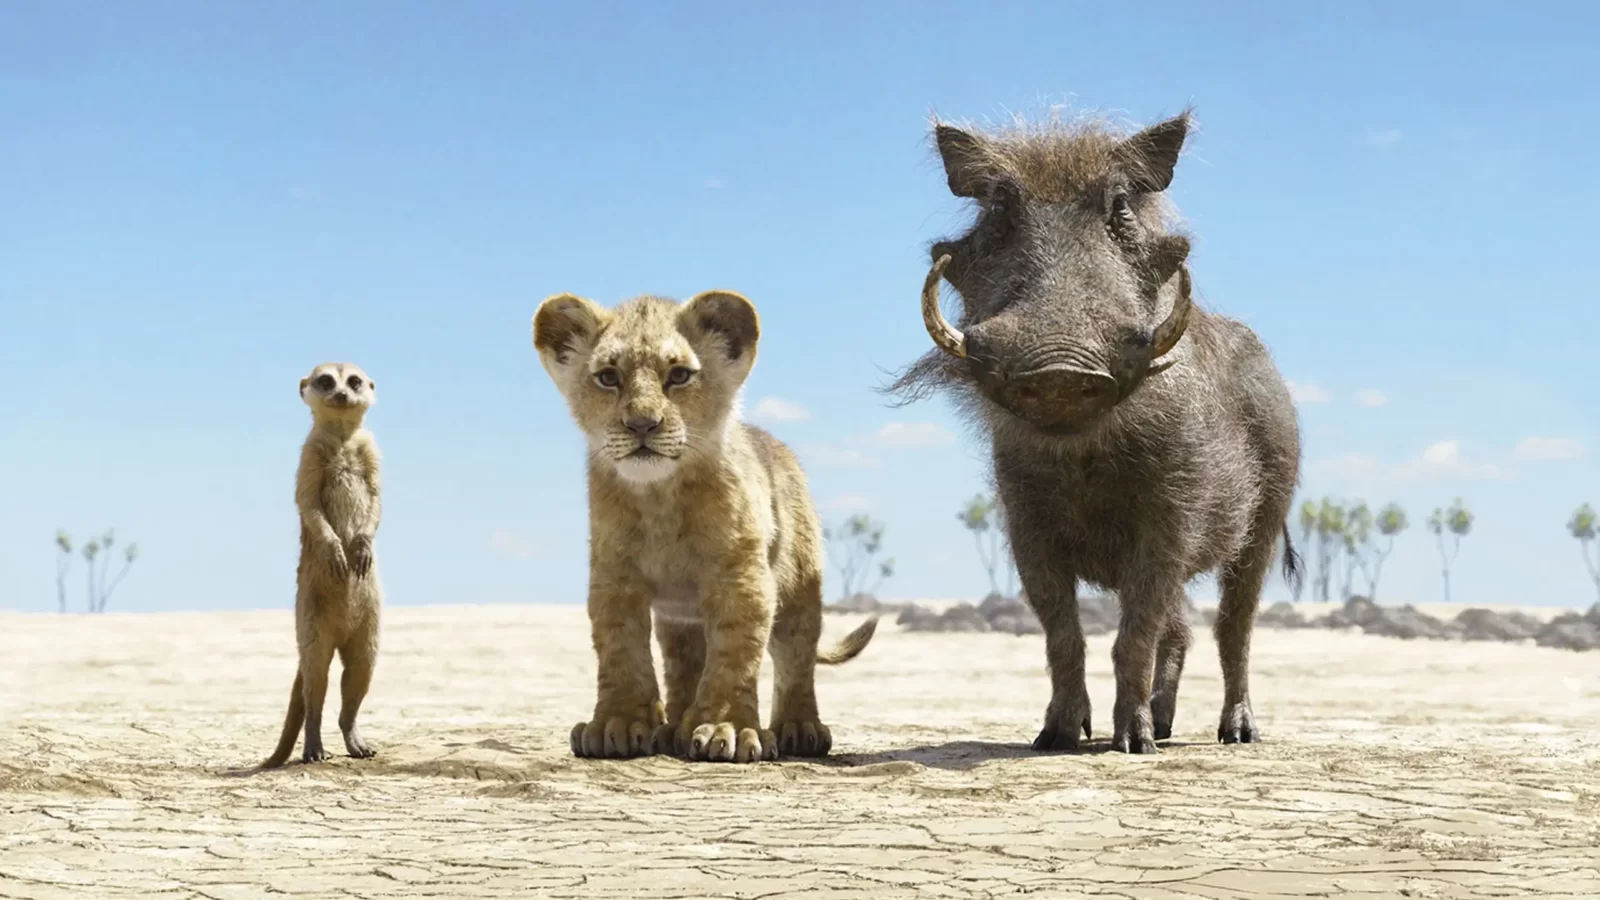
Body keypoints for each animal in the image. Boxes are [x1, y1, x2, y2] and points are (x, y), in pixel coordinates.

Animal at [532, 288, 877, 763]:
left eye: (679, 375)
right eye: (607, 377)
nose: (642, 424)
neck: (659, 496)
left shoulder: (740, 575)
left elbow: (735, 653)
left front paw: (725, 728)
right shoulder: (614, 577)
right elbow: (620, 650)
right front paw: (617, 725)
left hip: (799, 591)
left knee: (796, 657)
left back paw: (799, 729)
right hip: (680, 619)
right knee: (684, 663)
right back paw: (673, 728)